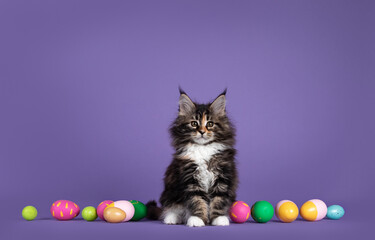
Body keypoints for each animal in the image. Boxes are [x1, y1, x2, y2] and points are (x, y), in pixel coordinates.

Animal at [147, 89, 238, 227]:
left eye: (210, 124)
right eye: (194, 123)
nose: (202, 131)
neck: (203, 148)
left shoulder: (222, 175)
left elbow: (219, 199)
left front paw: (219, 218)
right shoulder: (190, 177)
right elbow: (196, 200)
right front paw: (197, 219)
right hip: (170, 194)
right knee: (172, 208)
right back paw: (172, 218)